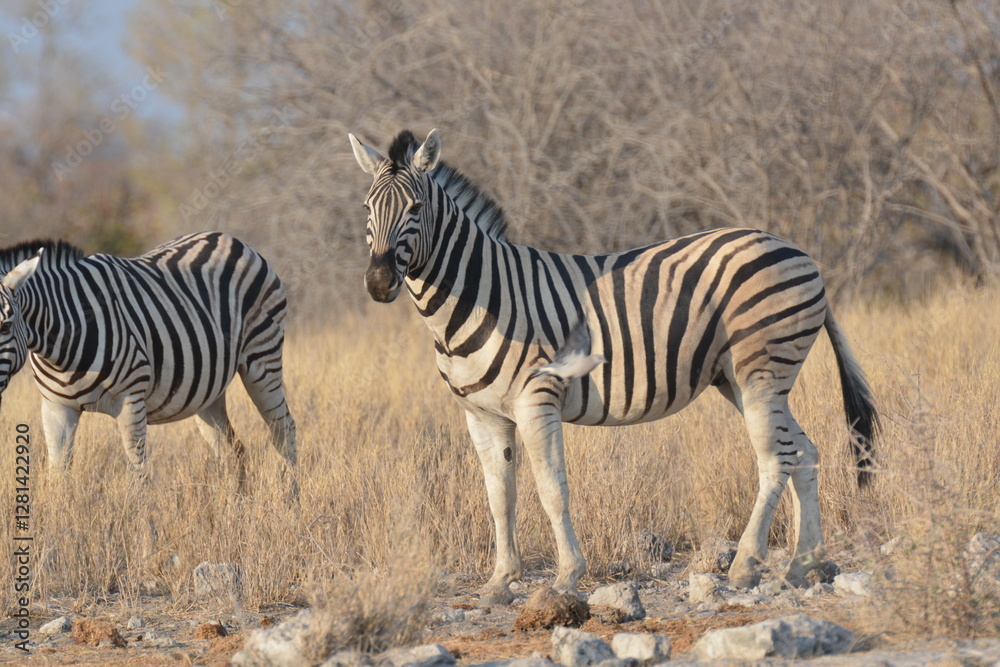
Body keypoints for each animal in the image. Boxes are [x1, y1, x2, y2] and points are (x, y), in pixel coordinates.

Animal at [0, 232, 297, 495]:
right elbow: (59, 475)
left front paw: (137, 522)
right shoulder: (56, 407)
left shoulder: (130, 401)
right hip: (209, 389)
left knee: (284, 432)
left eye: (5, 325)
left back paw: (289, 499)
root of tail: (231, 239)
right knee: (230, 450)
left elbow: (138, 475)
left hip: (263, 358)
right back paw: (232, 505)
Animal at [348, 128, 879, 603]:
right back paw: (803, 565)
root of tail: (797, 250)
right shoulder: (481, 414)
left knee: (776, 457)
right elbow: (500, 495)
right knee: (803, 450)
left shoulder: (536, 398)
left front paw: (566, 577)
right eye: (367, 210)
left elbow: (551, 489)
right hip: (740, 378)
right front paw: (500, 582)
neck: (482, 297)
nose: (377, 283)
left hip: (761, 369)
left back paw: (747, 565)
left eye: (416, 209)